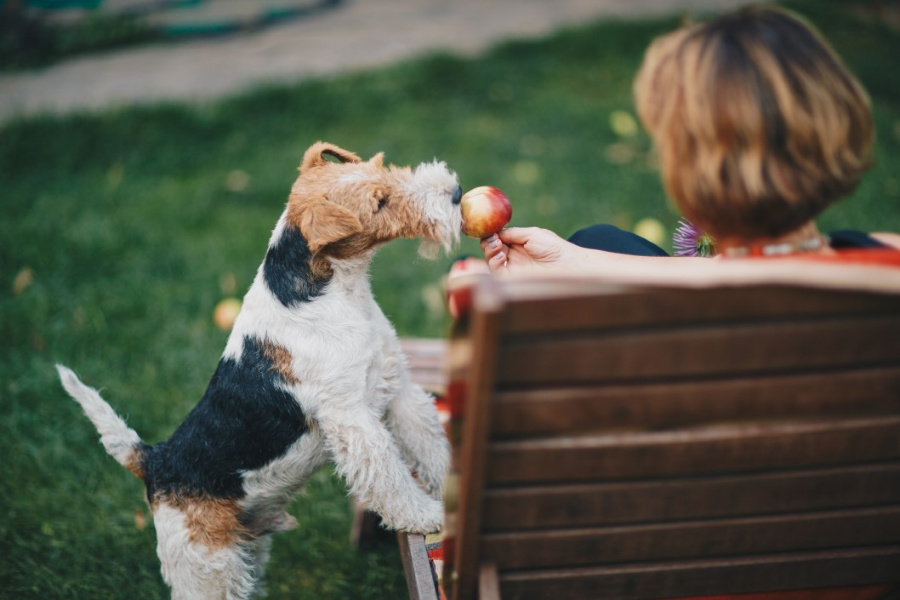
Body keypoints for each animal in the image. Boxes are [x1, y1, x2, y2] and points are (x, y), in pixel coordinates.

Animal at [55, 142, 460, 600]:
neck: (330, 291)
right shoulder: (351, 419)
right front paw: (427, 515)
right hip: (207, 567)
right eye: (379, 202)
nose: (456, 192)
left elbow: (430, 444)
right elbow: (390, 478)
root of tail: (154, 462)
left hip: (248, 548)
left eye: (383, 169)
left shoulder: (398, 388)